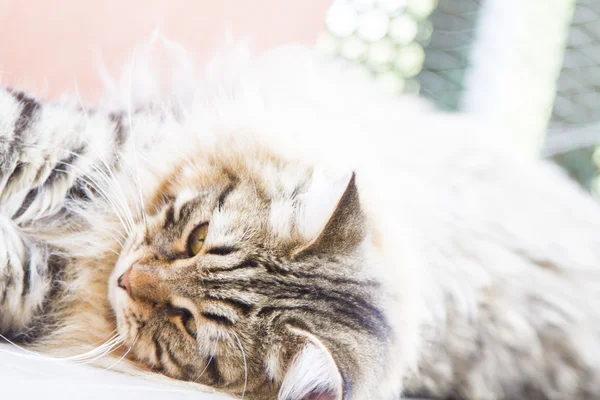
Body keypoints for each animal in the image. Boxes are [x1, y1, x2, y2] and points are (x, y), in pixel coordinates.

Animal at [1, 41, 600, 400]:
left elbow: (14, 268)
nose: (125, 279)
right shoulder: (75, 151)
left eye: (187, 322)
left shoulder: (45, 286)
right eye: (197, 238)